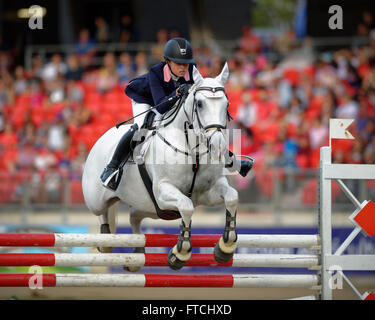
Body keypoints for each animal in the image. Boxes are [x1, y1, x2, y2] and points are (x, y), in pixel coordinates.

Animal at [83, 63, 238, 272]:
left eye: (226, 105)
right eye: (199, 104)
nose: (218, 146)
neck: (192, 149)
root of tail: (99, 140)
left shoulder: (207, 192)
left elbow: (232, 197)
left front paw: (225, 247)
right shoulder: (164, 191)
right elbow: (186, 207)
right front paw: (179, 254)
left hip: (154, 208)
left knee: (134, 216)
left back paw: (137, 253)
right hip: (97, 200)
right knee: (102, 213)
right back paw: (106, 240)